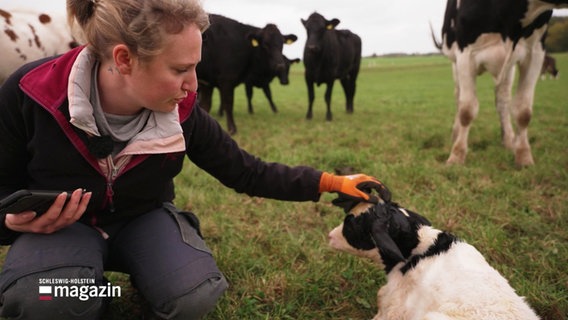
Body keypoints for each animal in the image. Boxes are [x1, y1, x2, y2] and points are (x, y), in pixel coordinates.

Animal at [432, 0, 568, 166]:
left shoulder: (536, 51)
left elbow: (524, 111)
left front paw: (524, 157)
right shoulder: (465, 52)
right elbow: (466, 110)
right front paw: (456, 156)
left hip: (509, 70)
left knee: (502, 100)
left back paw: (509, 140)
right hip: (455, 62)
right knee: (458, 97)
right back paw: (456, 134)